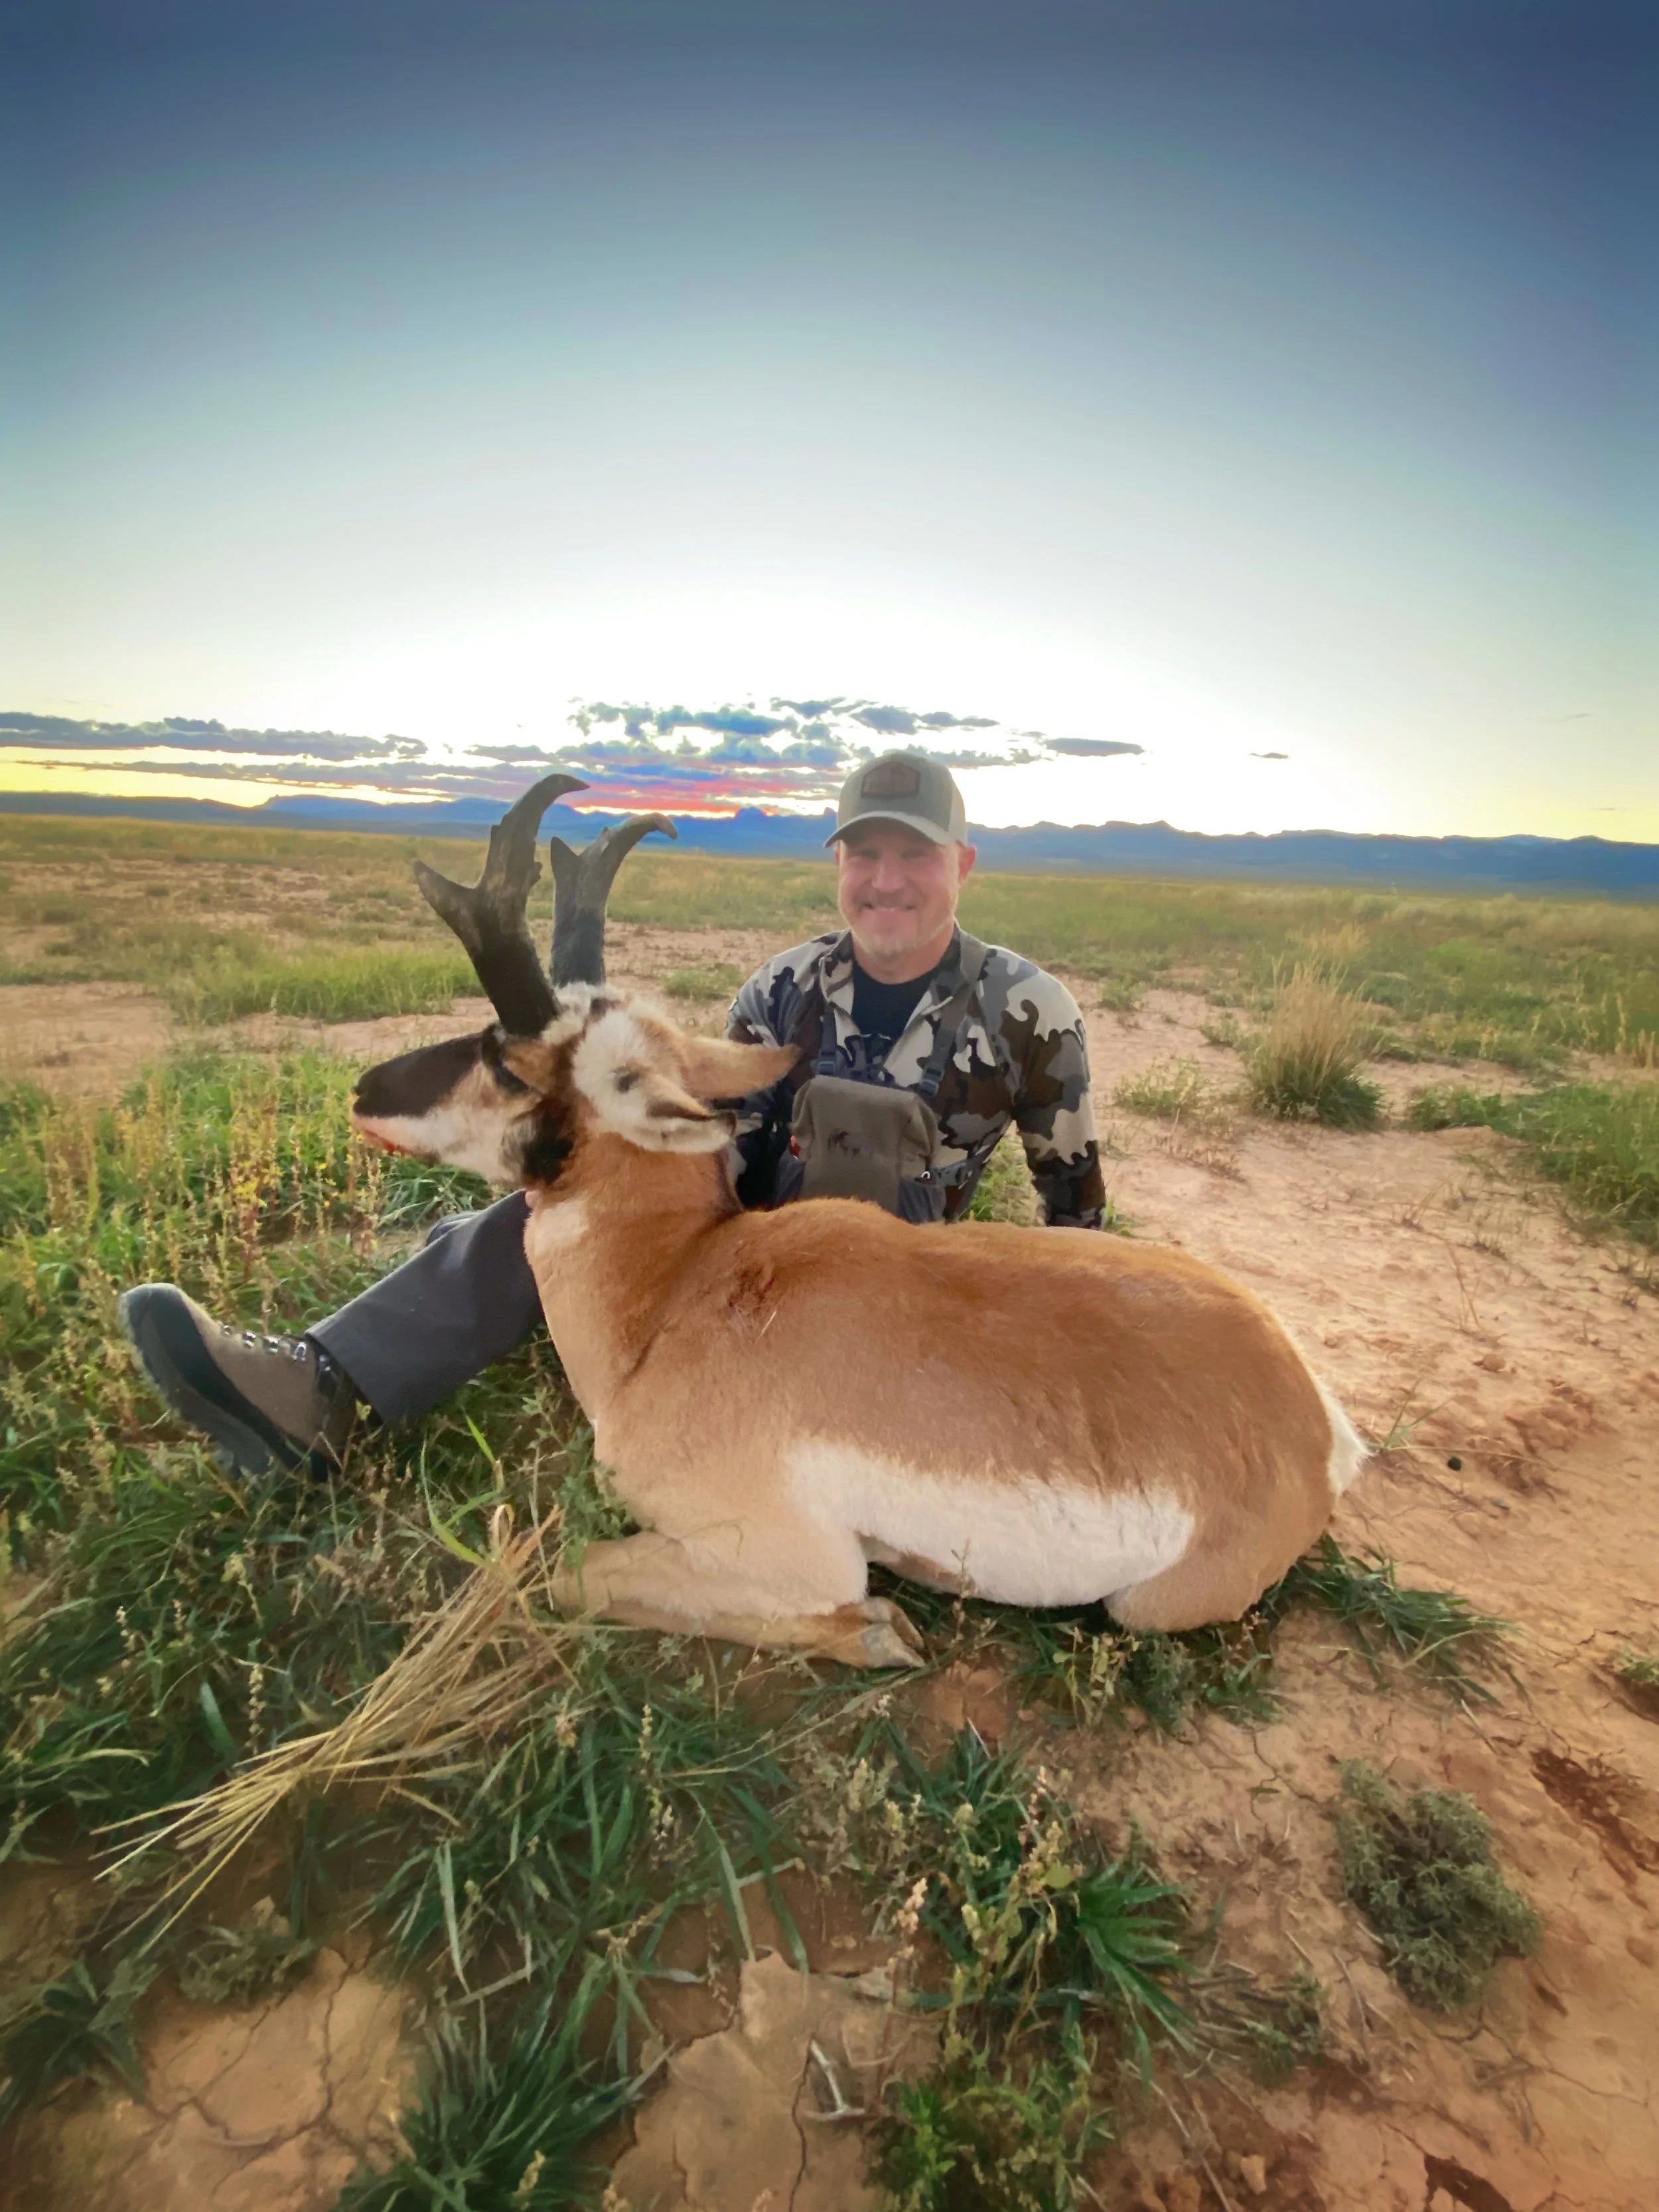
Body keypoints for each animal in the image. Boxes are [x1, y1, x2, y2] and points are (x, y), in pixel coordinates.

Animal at [353, 778, 1367, 1667]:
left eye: (505, 1061)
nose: (363, 1089)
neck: (679, 1294)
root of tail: (1311, 1417)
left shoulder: (786, 1556)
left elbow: (565, 1571)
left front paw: (879, 1631)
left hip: (1146, 1606)